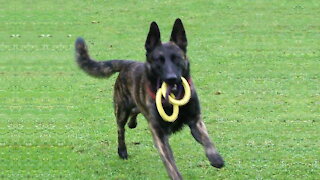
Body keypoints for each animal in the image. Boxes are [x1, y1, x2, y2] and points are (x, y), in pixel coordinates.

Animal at [75, 18, 225, 180]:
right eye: (158, 60)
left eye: (177, 59)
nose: (171, 79)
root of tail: (128, 63)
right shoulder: (158, 133)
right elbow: (170, 163)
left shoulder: (195, 120)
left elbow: (207, 140)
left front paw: (216, 158)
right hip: (121, 110)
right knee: (121, 129)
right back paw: (122, 150)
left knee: (134, 113)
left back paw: (132, 123)